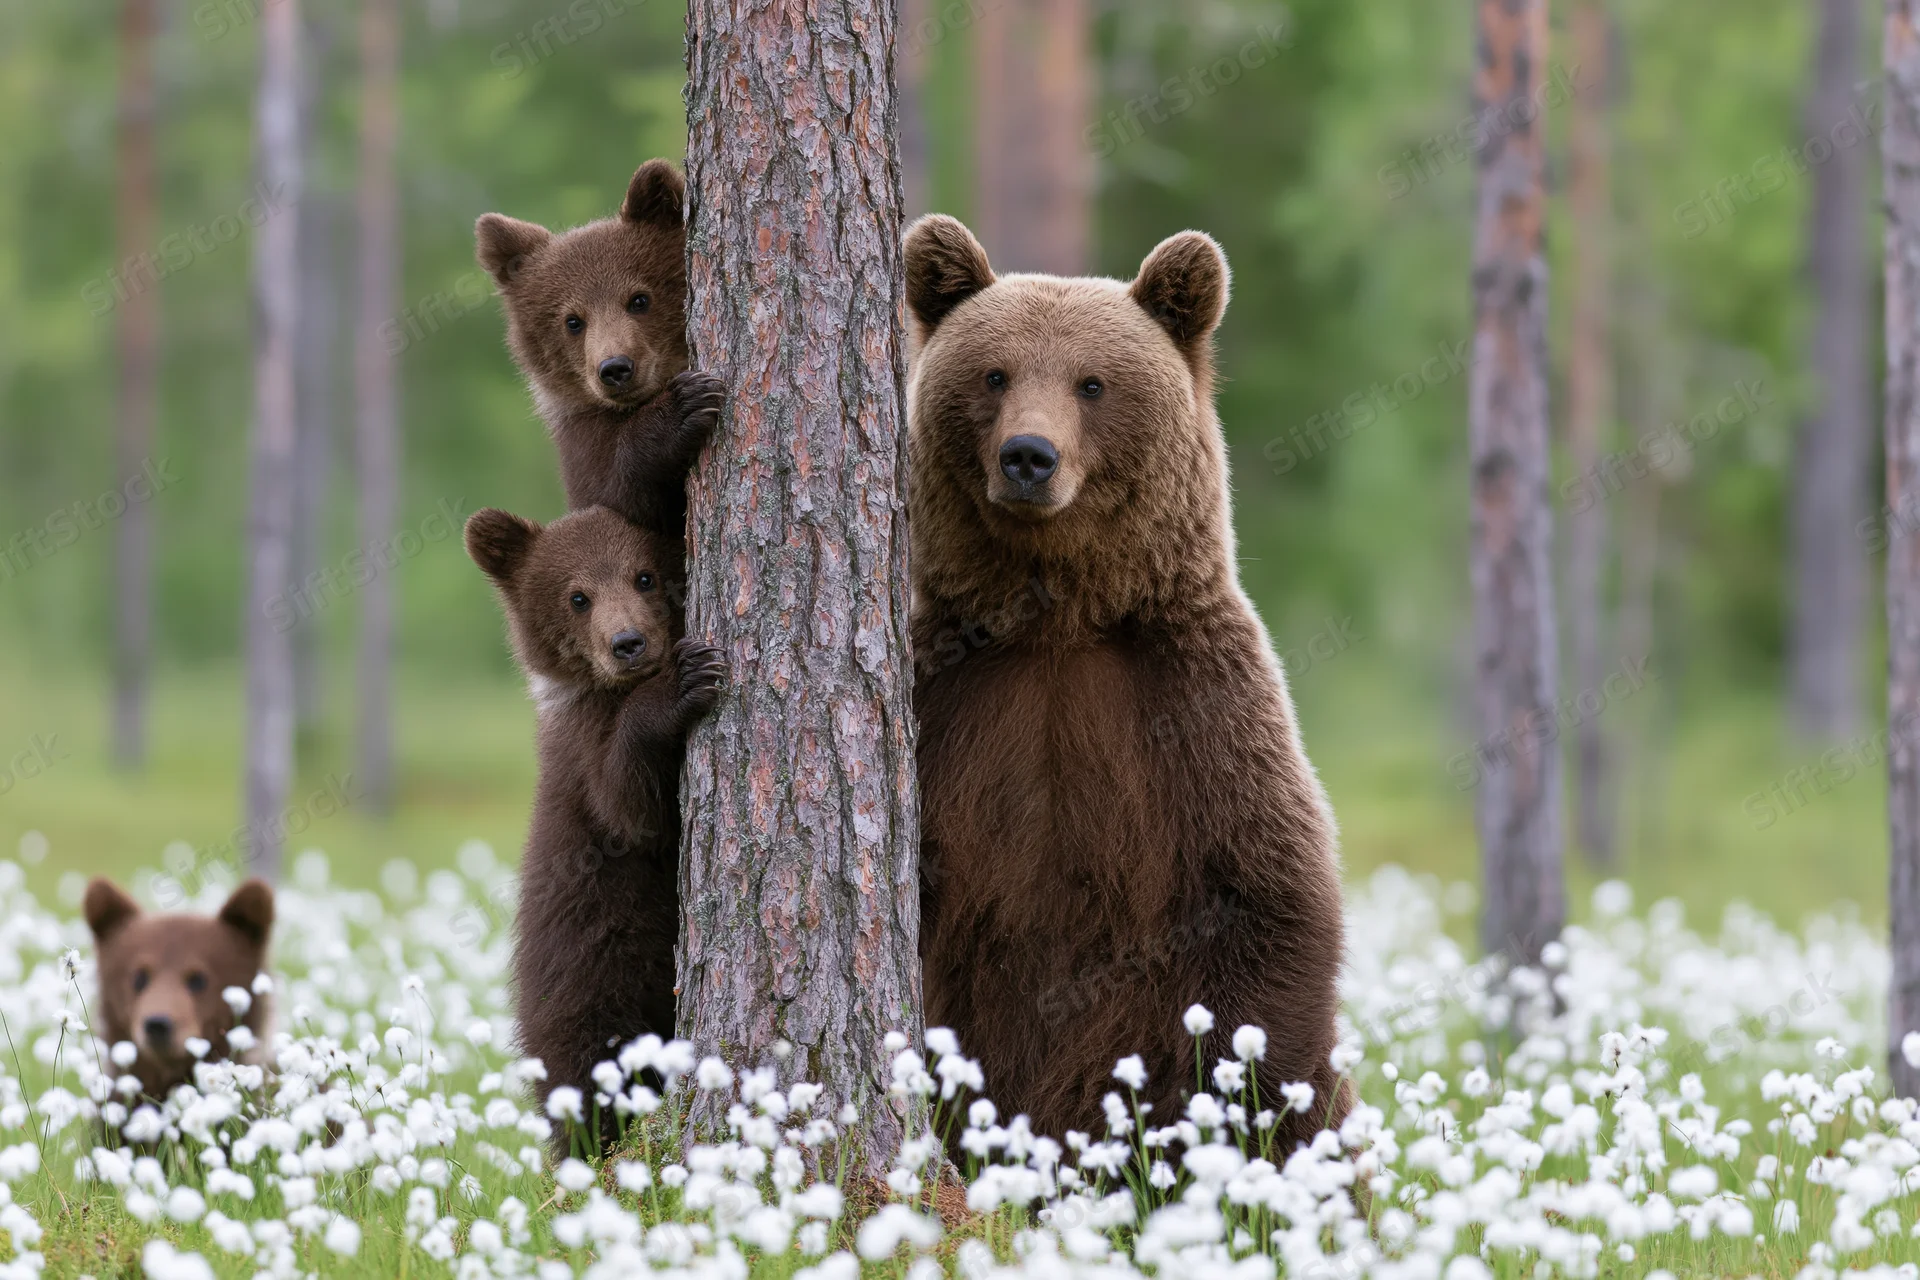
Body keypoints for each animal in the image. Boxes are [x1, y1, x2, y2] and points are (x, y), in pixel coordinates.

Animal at [464, 504, 725, 1140]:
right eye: (577, 596)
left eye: (644, 576)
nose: (628, 642)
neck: (611, 691)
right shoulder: (584, 763)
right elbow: (633, 806)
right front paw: (682, 683)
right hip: (589, 982)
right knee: (586, 1077)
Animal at [475, 159, 724, 538]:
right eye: (572, 321)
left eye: (639, 299)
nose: (615, 368)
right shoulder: (584, 439)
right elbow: (613, 497)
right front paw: (683, 404)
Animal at [902, 214, 1351, 1149]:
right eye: (994, 373)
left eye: (1092, 382)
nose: (1028, 457)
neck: (1057, 620)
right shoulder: (946, 698)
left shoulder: (1194, 703)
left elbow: (1268, 894)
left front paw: (1243, 1116)